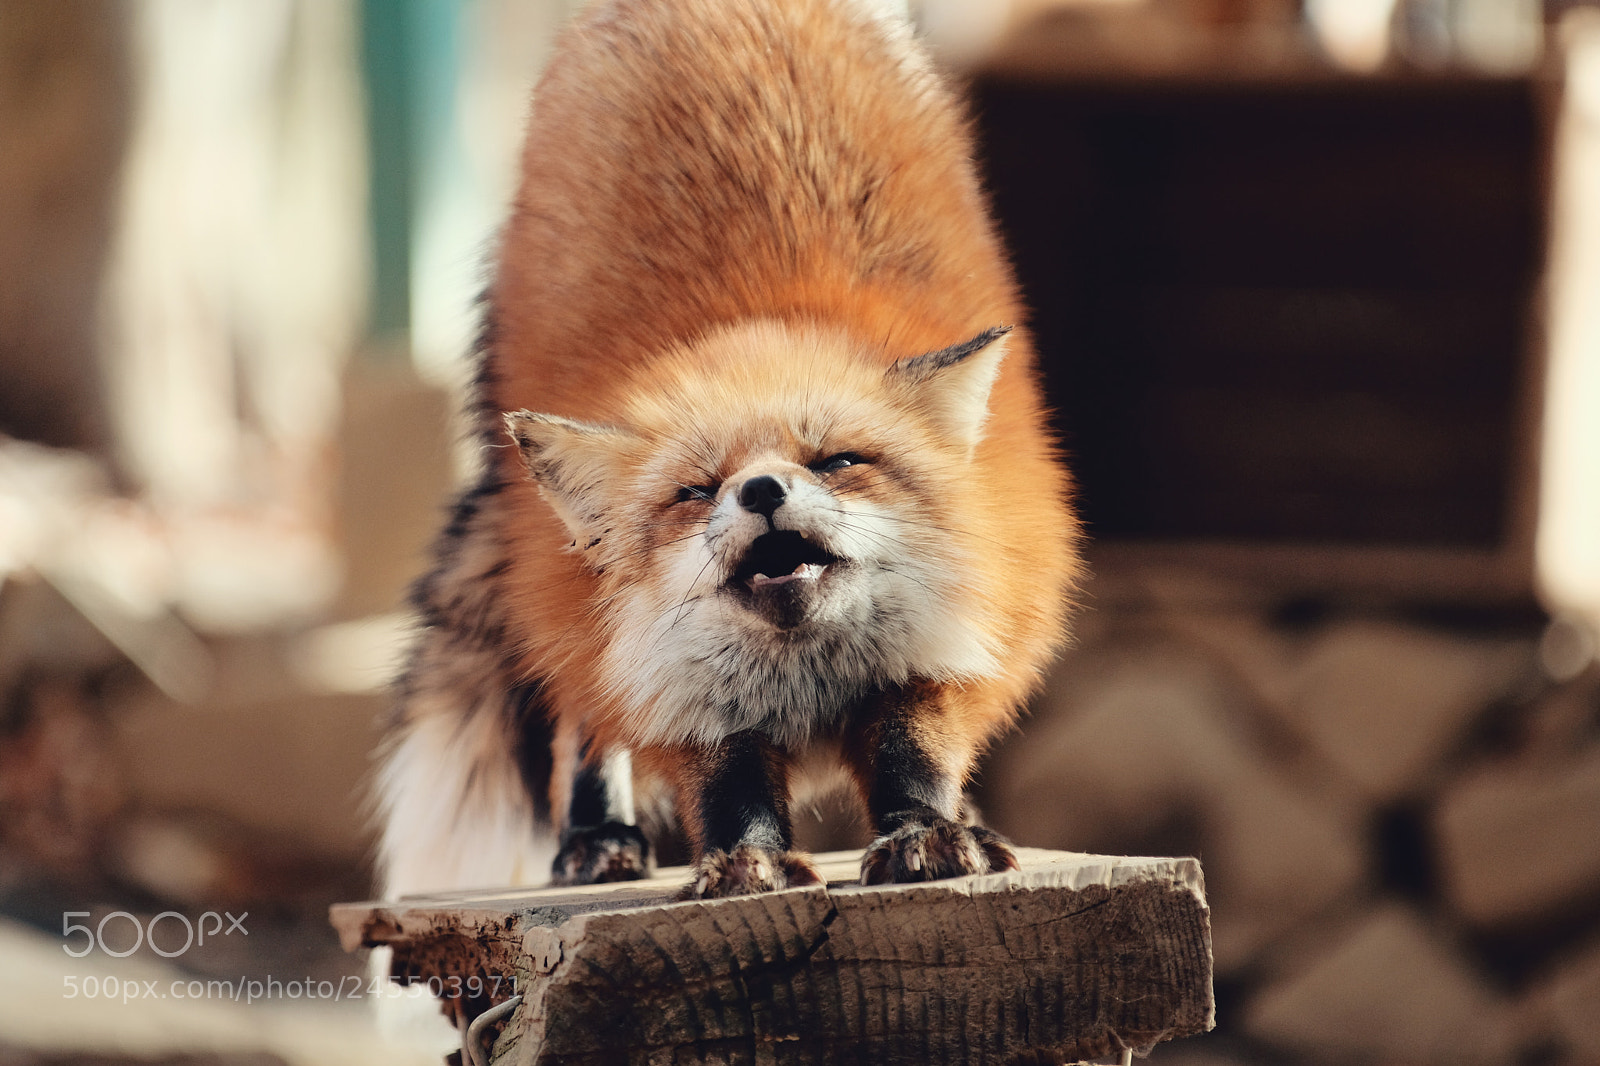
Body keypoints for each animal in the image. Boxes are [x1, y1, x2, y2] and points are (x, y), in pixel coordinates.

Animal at [376, 0, 1081, 902]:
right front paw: (747, 862)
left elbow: (912, 750)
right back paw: (597, 837)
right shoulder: (679, 686)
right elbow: (726, 777)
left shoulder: (935, 646)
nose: (762, 491)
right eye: (696, 490)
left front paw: (930, 831)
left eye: (837, 461)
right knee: (583, 723)